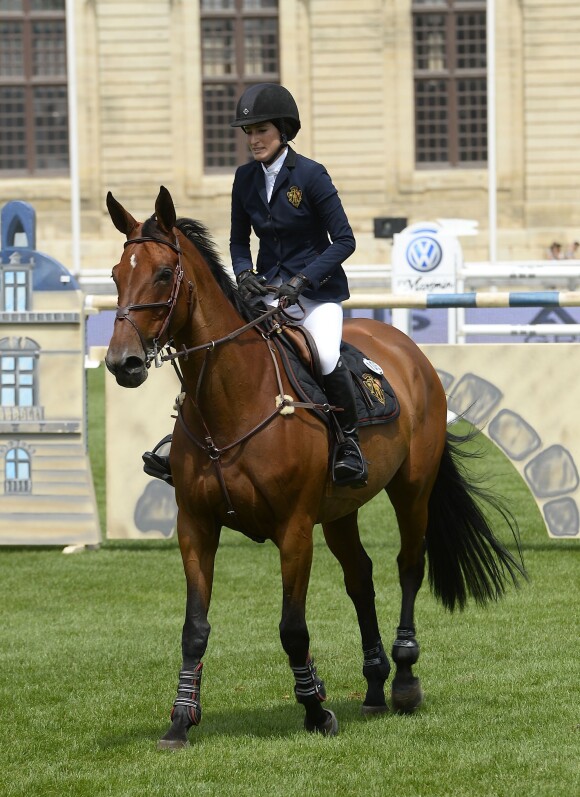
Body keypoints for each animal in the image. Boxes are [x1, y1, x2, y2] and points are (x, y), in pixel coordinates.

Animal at [104, 185, 524, 748]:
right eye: (115, 274)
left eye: (165, 274)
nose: (121, 363)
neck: (231, 398)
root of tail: (406, 348)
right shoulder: (195, 526)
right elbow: (194, 629)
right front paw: (180, 719)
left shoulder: (295, 528)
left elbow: (292, 627)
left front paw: (315, 709)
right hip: (342, 510)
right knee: (361, 578)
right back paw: (374, 686)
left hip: (411, 490)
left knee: (408, 568)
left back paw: (404, 680)